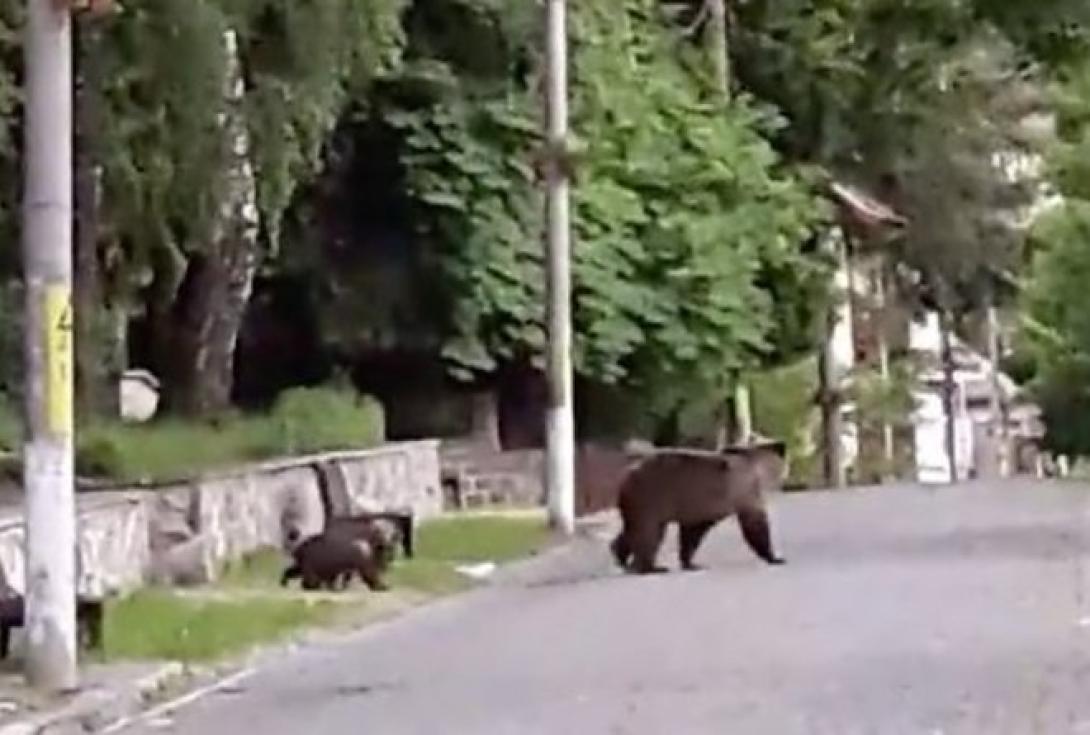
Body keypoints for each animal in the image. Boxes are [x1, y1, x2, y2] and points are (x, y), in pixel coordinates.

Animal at [610, 438, 789, 571]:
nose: (782, 445)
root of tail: (627, 474)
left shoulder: (702, 506)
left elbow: (692, 533)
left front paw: (690, 563)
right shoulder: (742, 492)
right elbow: (755, 525)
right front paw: (774, 557)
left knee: (634, 531)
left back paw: (620, 555)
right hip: (649, 497)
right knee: (649, 533)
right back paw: (651, 567)